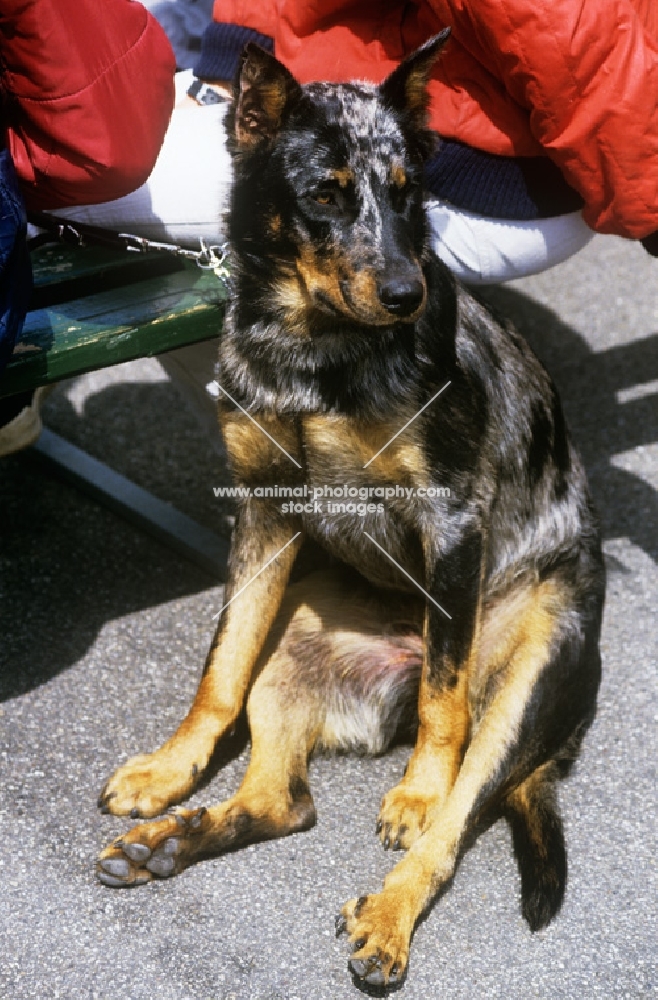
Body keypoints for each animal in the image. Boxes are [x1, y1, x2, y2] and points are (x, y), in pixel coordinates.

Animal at [95, 35, 604, 988]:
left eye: (407, 190)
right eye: (325, 193)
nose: (407, 293)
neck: (313, 350)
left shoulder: (452, 525)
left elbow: (445, 703)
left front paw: (418, 791)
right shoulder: (261, 516)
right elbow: (217, 670)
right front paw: (171, 768)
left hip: (525, 682)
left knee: (453, 804)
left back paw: (388, 916)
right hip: (290, 649)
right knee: (281, 800)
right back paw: (168, 842)